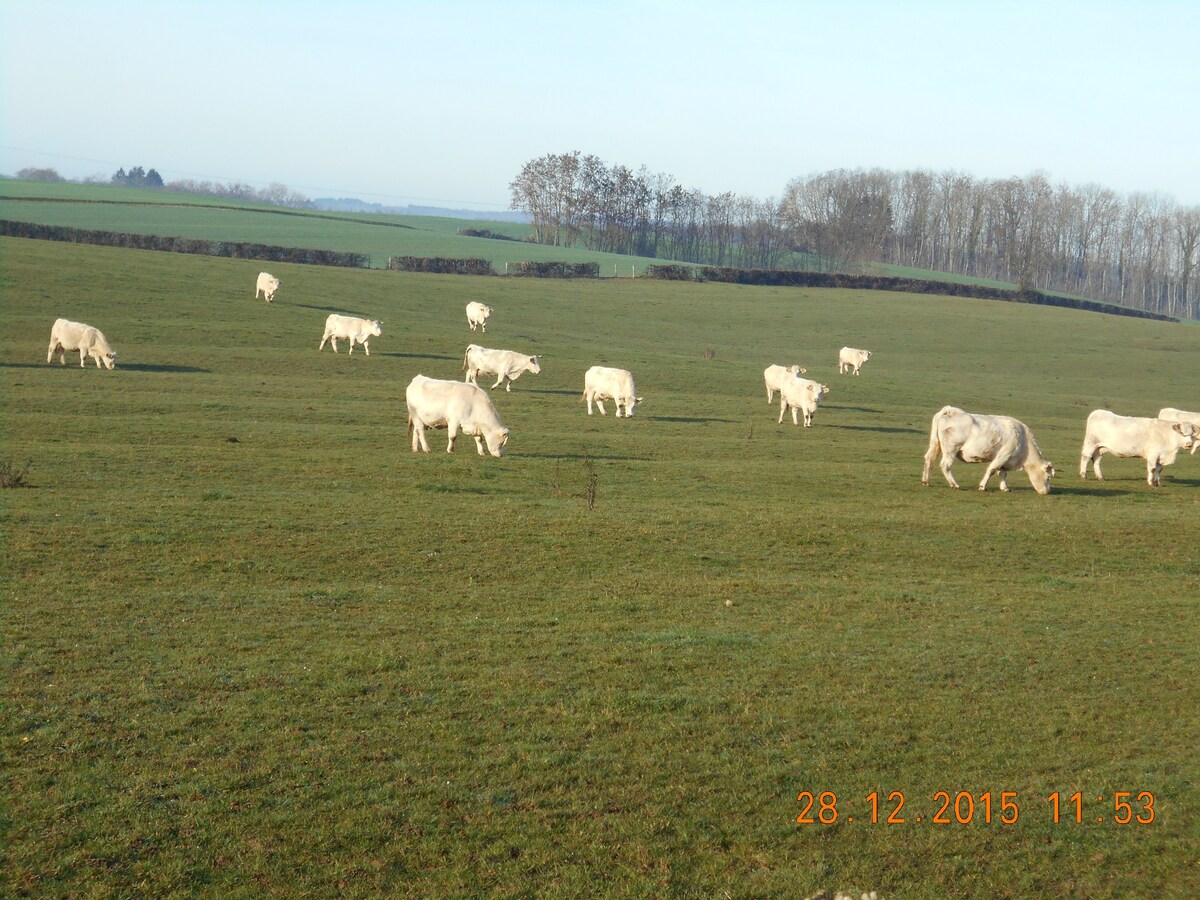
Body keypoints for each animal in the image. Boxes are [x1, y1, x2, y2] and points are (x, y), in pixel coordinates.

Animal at [916, 408, 1051, 494]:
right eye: (1048, 477)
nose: (1047, 491)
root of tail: (950, 410)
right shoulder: (1003, 455)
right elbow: (992, 470)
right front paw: (982, 486)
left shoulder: (1006, 460)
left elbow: (1002, 473)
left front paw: (1004, 488)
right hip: (951, 449)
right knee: (945, 465)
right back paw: (954, 485)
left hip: (935, 445)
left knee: (929, 459)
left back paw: (926, 481)